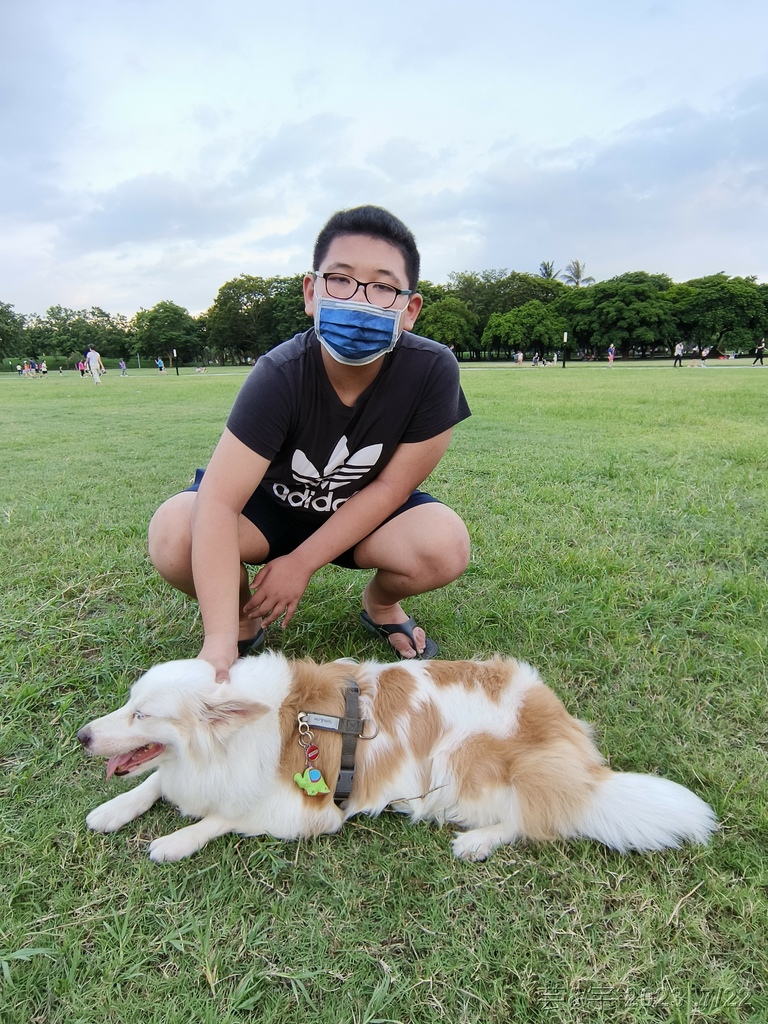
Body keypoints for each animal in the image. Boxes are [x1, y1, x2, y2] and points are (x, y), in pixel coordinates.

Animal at [76, 651, 716, 860]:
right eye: (128, 703)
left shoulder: (307, 812)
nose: (83, 736)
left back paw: (478, 842)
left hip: (461, 759)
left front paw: (174, 842)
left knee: (536, 815)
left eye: (142, 715)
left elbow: (222, 817)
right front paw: (114, 809)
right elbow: (155, 782)